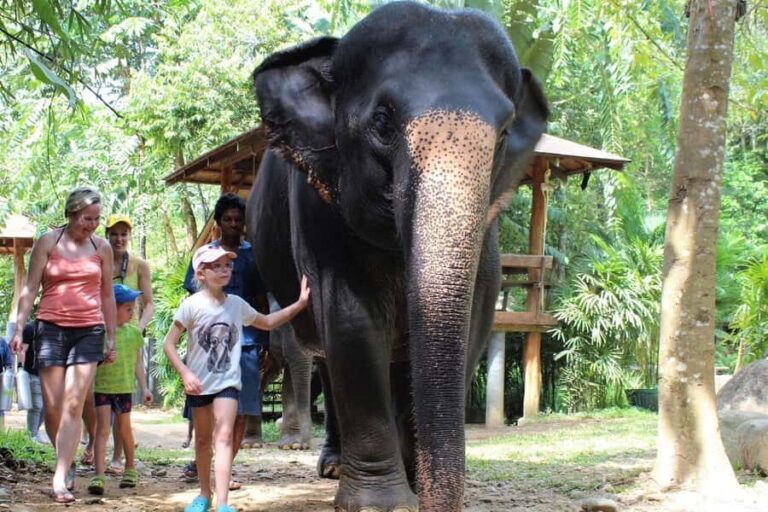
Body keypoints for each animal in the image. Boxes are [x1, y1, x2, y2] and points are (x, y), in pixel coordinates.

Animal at [246, 2, 548, 511]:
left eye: (505, 133)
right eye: (384, 123)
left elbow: (472, 322)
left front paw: (413, 485)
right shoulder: (320, 210)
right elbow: (352, 322)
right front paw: (381, 504)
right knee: (327, 360)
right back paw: (333, 466)